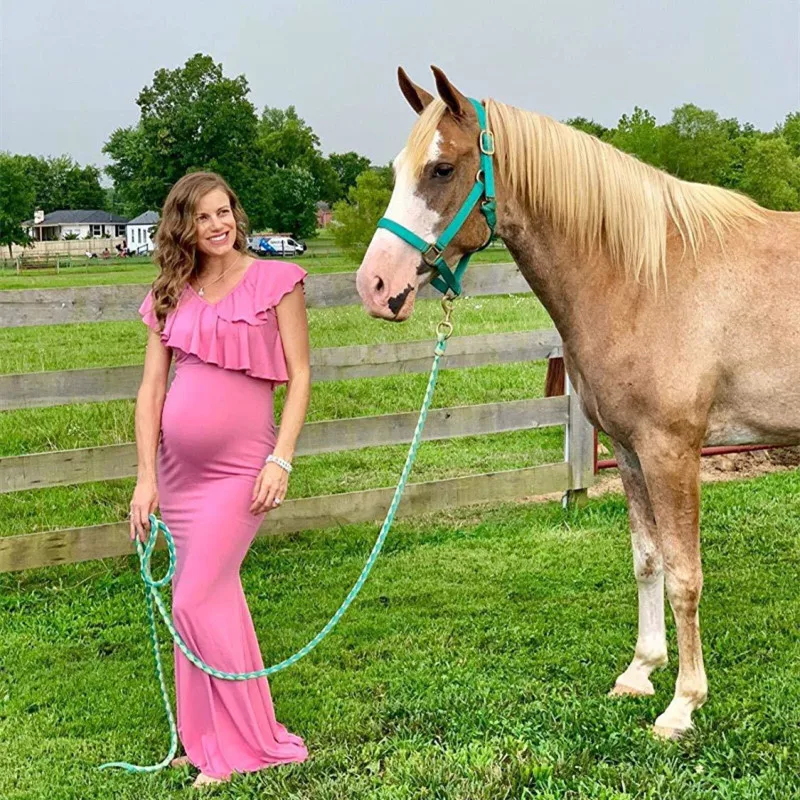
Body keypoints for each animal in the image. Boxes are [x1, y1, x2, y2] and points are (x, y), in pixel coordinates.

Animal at [356, 65, 800, 740]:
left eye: (441, 169)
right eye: (397, 169)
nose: (374, 286)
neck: (646, 277)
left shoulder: (672, 451)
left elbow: (685, 575)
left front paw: (683, 703)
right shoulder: (630, 450)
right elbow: (648, 561)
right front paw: (641, 672)